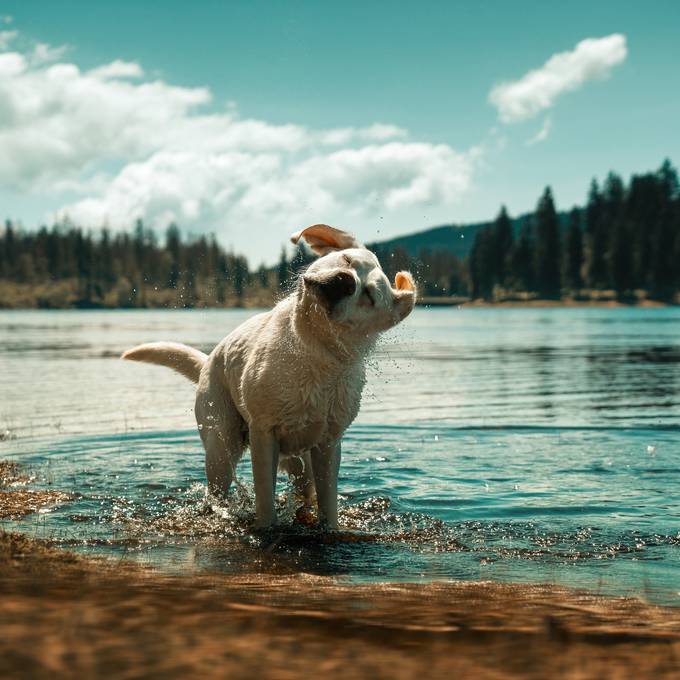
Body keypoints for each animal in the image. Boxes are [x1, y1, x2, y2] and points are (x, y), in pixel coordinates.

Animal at [121, 226, 414, 528]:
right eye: (346, 260)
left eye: (368, 295)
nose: (344, 282)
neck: (312, 349)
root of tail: (206, 363)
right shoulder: (263, 433)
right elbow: (264, 500)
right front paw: (265, 527)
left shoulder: (329, 445)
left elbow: (328, 505)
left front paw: (329, 528)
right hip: (221, 448)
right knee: (217, 489)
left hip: (300, 462)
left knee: (304, 489)